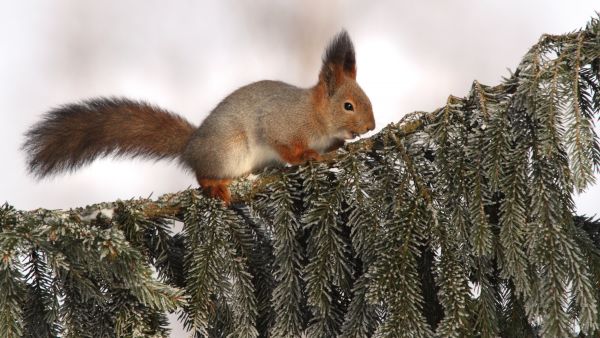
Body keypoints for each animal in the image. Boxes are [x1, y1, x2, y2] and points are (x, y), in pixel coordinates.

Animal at [22, 31, 376, 203]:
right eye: (348, 106)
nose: (371, 126)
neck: (316, 116)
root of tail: (191, 146)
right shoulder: (282, 124)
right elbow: (286, 146)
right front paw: (307, 156)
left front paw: (338, 148)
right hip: (227, 151)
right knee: (201, 175)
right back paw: (216, 187)